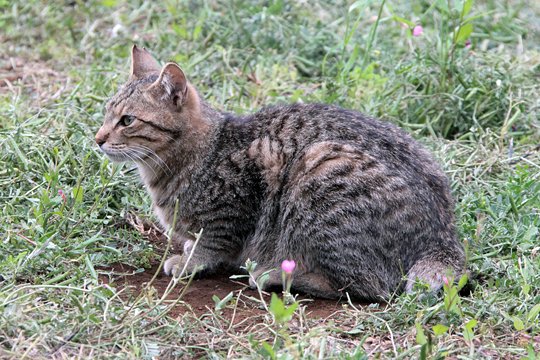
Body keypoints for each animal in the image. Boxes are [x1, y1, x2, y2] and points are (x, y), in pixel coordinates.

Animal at [96, 45, 464, 300]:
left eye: (127, 120)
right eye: (106, 112)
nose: (97, 138)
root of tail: (444, 237)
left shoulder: (232, 208)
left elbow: (212, 243)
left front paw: (190, 261)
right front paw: (187, 250)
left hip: (318, 168)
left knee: (366, 286)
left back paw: (274, 275)